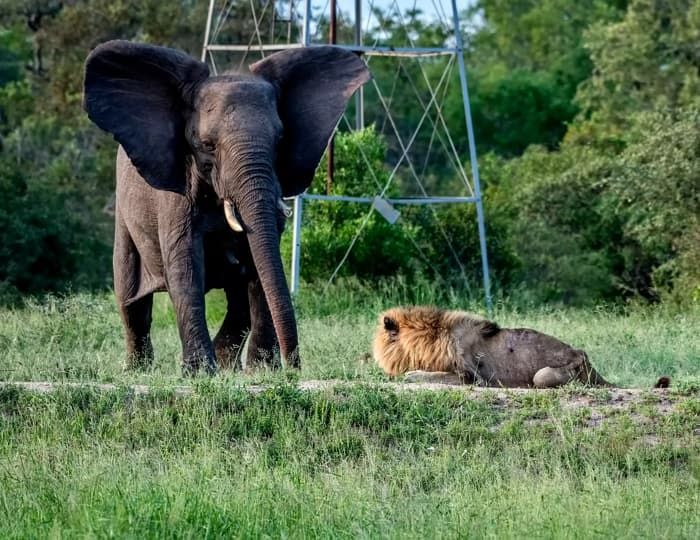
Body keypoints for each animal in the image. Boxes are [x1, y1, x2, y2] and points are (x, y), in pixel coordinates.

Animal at [83, 41, 372, 376]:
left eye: (279, 141)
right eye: (207, 145)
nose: (295, 367)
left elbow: (260, 268)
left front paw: (263, 372)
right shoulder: (177, 194)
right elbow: (186, 268)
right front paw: (199, 374)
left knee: (237, 299)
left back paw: (226, 366)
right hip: (125, 218)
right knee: (131, 300)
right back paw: (138, 370)